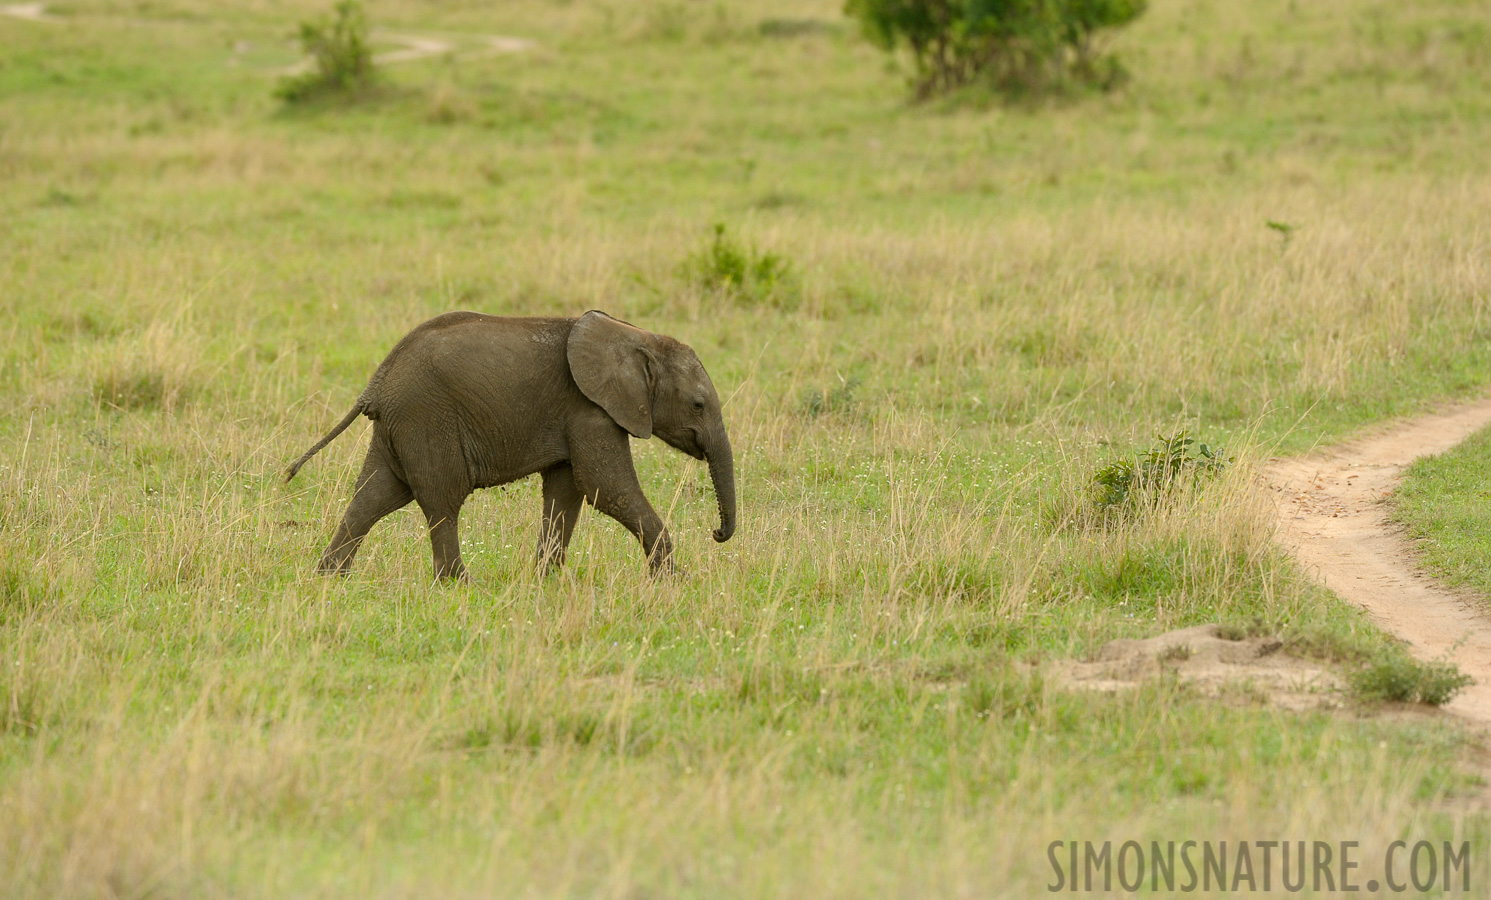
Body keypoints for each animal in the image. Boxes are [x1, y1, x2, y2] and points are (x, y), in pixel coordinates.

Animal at [281, 312, 736, 581]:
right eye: (698, 405)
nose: (716, 533)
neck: (634, 336)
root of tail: (375, 382)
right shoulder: (591, 410)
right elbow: (606, 489)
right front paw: (673, 581)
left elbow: (566, 493)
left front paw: (546, 581)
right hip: (426, 419)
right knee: (441, 499)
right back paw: (458, 584)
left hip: (400, 426)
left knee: (374, 494)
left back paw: (329, 576)